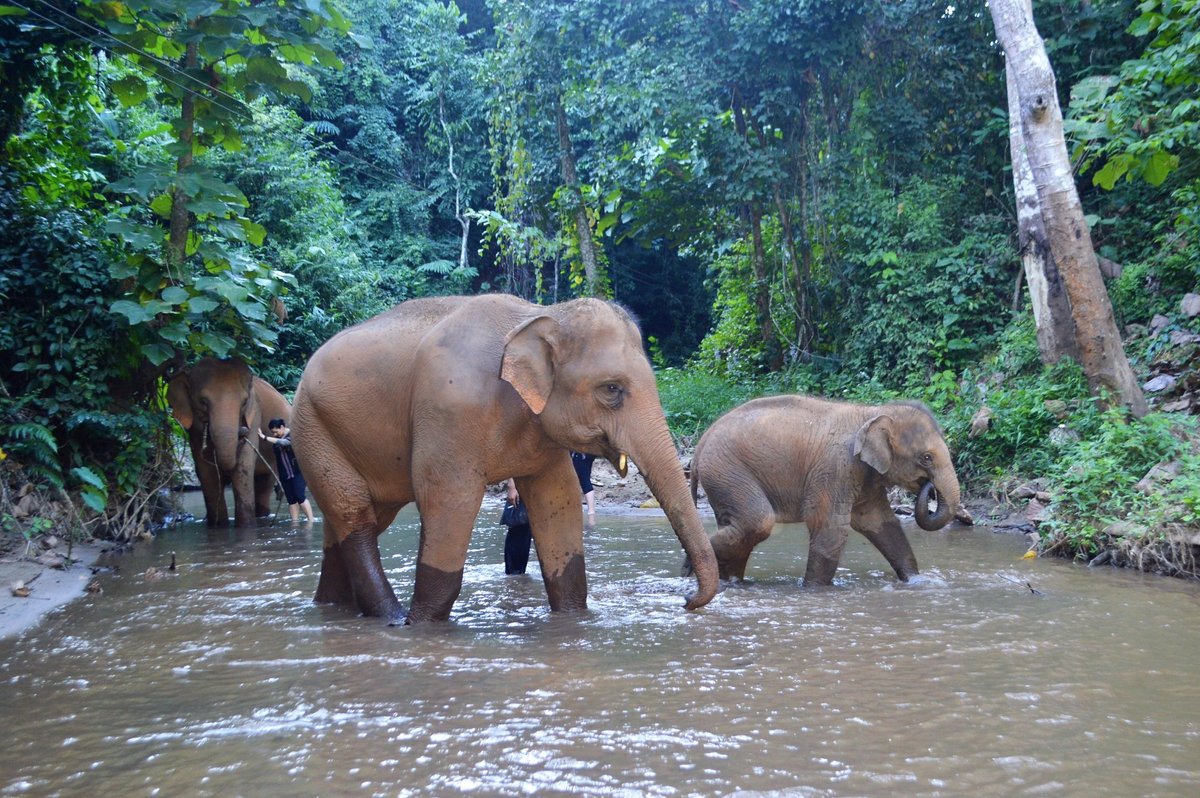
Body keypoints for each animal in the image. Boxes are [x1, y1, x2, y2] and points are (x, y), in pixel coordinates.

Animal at [166, 357, 290, 525]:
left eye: (244, 402)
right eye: (203, 402)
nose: (242, 432)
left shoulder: (254, 416)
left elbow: (242, 468)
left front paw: (245, 527)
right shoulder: (194, 431)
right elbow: (206, 471)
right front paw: (218, 525)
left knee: (264, 485)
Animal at [290, 292, 715, 624]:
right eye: (612, 389)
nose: (684, 599)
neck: (540, 313)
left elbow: (558, 498)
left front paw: (573, 618)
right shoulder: (449, 410)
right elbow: (449, 500)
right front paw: (422, 626)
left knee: (356, 521)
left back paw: (335, 609)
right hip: (311, 426)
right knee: (354, 515)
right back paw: (390, 618)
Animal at [691, 396, 960, 583]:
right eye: (926, 458)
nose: (928, 487)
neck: (872, 412)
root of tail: (701, 441)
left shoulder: (866, 479)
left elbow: (881, 523)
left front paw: (917, 582)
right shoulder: (836, 468)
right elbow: (830, 527)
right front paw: (814, 589)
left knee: (739, 528)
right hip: (727, 470)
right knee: (757, 522)